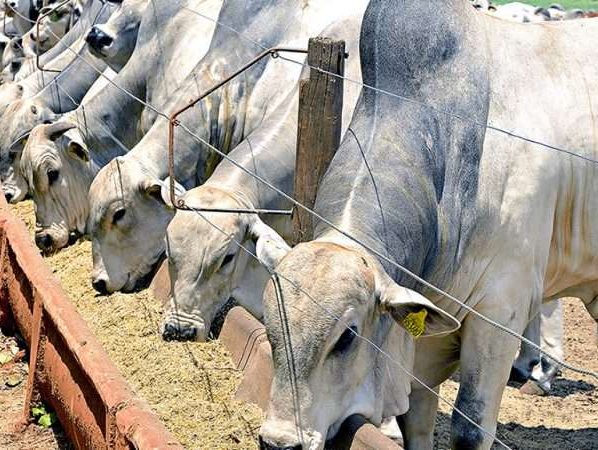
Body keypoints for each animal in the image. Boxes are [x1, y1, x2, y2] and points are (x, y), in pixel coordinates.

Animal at [256, 1, 598, 448]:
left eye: (347, 336)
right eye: (269, 326)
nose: (279, 441)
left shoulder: (501, 311)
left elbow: (469, 427)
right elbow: (415, 421)